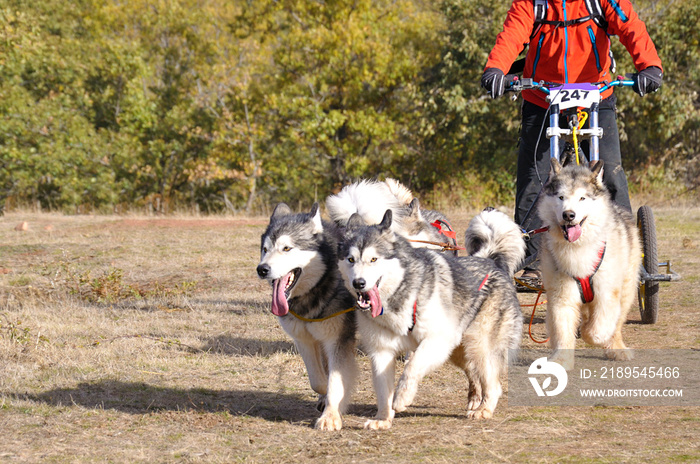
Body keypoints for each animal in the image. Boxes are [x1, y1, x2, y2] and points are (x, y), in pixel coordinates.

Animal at [336, 205, 524, 430]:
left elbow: (412, 367)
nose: (359, 283)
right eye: (351, 259)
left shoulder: (436, 339)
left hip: (478, 344)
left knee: (493, 383)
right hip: (459, 350)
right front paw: (383, 419)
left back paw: (484, 409)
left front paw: (402, 397)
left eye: (373, 259)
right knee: (472, 370)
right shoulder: (382, 350)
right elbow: (382, 390)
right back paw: (475, 398)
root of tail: (489, 260)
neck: (399, 297)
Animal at [540, 160, 644, 370]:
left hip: (627, 287)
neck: (577, 247)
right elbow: (563, 329)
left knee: (616, 324)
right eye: (561, 197)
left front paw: (589, 334)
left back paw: (616, 348)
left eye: (582, 198)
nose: (569, 215)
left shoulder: (607, 292)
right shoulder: (561, 294)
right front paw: (562, 360)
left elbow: (598, 329)